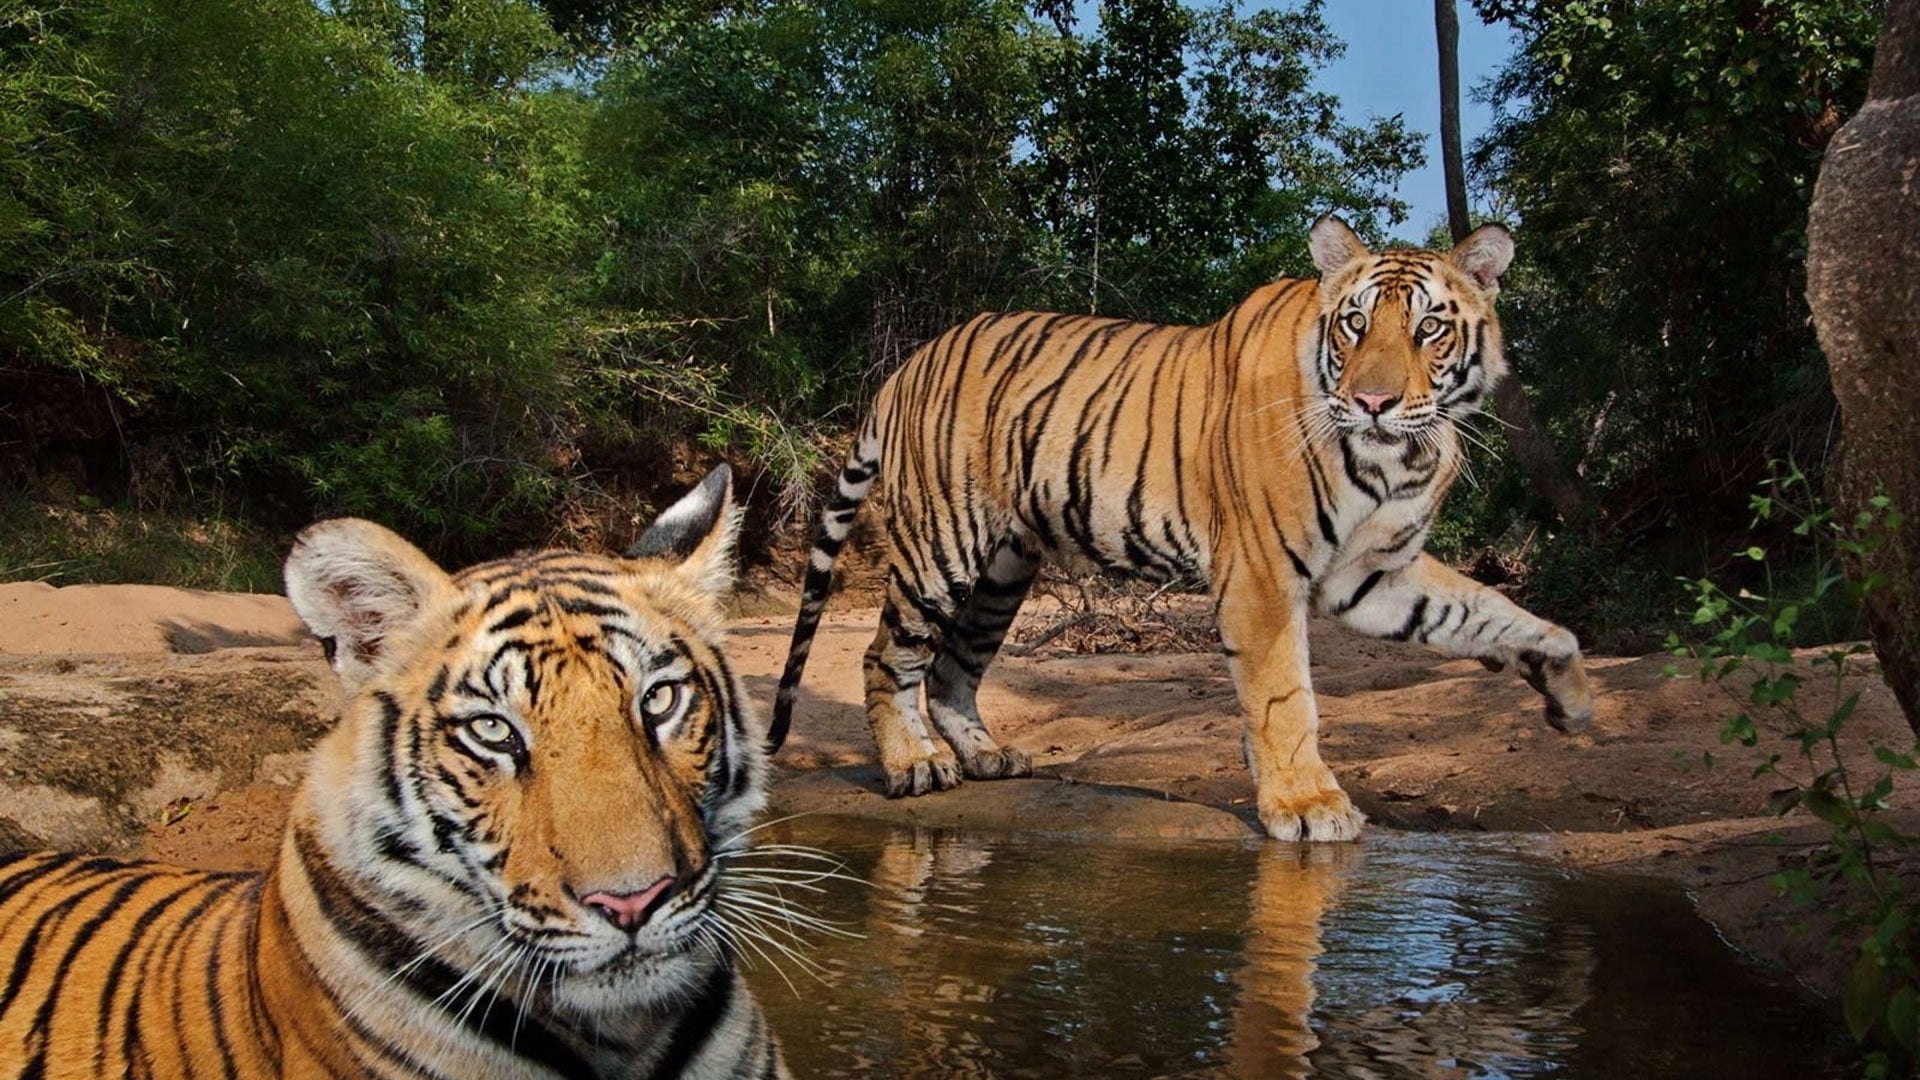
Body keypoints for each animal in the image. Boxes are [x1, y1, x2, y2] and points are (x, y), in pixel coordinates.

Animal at [772, 216, 1594, 843]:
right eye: (1356, 324)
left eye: (1429, 329)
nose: (1373, 402)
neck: (1396, 458)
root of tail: (908, 364)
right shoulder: (1263, 575)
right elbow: (1285, 697)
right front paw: (1308, 804)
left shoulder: (1373, 573)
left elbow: (1493, 610)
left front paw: (1569, 689)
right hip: (942, 546)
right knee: (888, 655)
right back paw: (912, 766)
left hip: (1004, 569)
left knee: (952, 666)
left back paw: (985, 757)